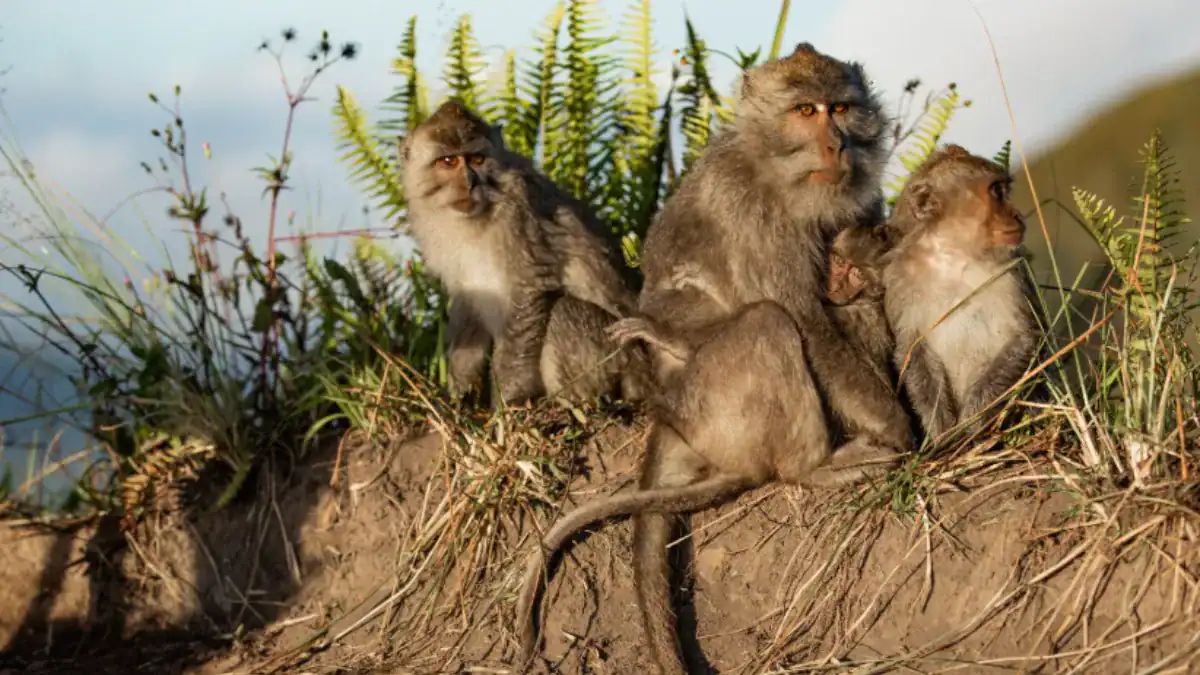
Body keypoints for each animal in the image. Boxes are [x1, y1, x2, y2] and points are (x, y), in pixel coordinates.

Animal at [399, 100, 650, 406]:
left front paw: (508, 402)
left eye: (477, 160)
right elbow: (467, 301)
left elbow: (528, 291)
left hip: (624, 357)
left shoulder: (518, 216)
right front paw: (460, 394)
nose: (470, 182)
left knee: (565, 311)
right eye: (448, 161)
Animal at [512, 43, 914, 674]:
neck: (772, 170)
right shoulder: (755, 217)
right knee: (768, 323)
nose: (837, 144)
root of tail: (668, 419)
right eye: (805, 110)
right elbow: (803, 317)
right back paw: (813, 467)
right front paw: (900, 431)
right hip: (712, 404)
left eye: (840, 108)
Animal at [881, 144, 1041, 442]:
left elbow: (1024, 337)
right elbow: (912, 350)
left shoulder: (1011, 271)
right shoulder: (899, 280)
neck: (954, 256)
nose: (1016, 215)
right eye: (996, 192)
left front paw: (970, 425)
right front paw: (942, 433)